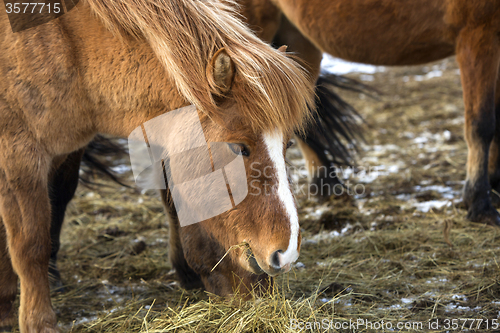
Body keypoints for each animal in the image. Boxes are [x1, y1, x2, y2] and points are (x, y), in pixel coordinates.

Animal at [0, 0, 314, 330]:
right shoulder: (19, 155)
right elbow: (31, 244)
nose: (286, 253)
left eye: (288, 145)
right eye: (238, 146)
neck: (65, 43)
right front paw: (37, 322)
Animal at [237, 0, 500, 226]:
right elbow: (481, 124)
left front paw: (494, 188)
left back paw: (328, 186)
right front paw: (480, 204)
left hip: (298, 41)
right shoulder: (478, 35)